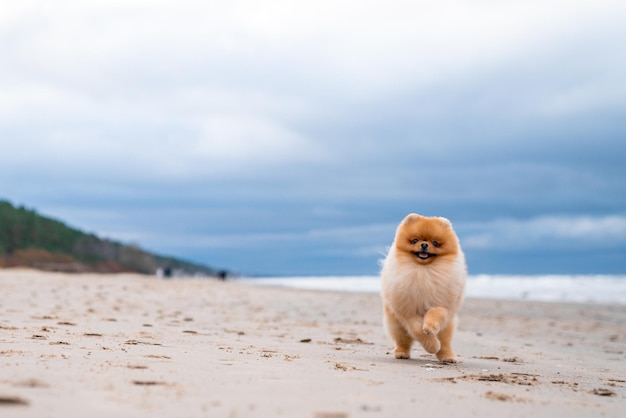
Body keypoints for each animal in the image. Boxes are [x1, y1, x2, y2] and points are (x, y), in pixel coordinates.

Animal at [378, 212, 466, 362]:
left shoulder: (442, 305)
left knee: (445, 342)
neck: (424, 271)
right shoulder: (408, 313)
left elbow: (435, 314)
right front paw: (431, 345)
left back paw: (447, 356)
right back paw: (401, 353)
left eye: (435, 243)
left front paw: (430, 328)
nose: (424, 244)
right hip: (396, 324)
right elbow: (418, 331)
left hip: (447, 327)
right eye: (415, 240)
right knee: (402, 340)